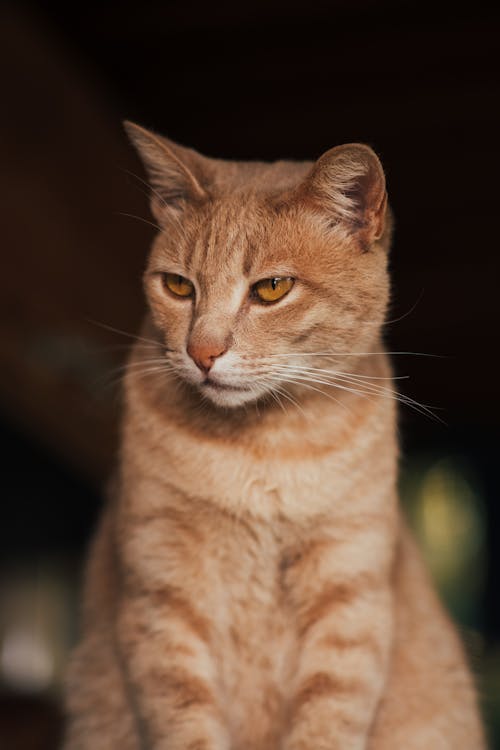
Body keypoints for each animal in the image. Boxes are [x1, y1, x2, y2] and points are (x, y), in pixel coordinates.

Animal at [62, 125, 484, 750]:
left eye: (271, 289)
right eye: (177, 286)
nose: (202, 353)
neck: (263, 452)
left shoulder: (348, 600)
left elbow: (326, 720)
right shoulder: (164, 594)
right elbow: (186, 720)